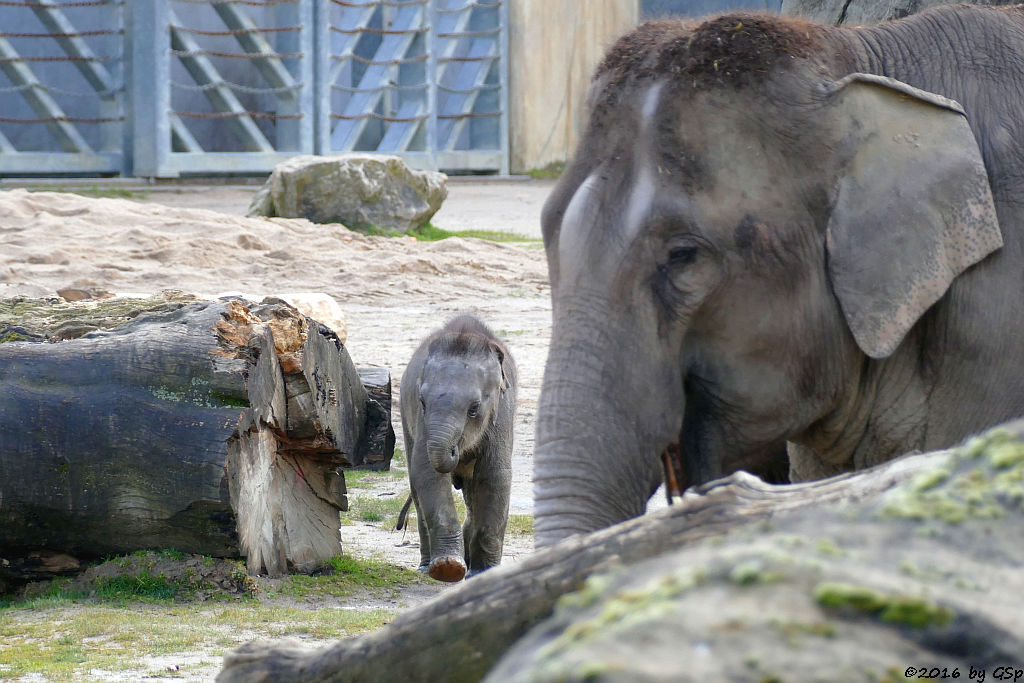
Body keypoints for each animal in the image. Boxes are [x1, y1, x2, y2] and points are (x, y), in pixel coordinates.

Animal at [395, 315, 516, 581]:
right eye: (422, 402)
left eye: (474, 409)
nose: (456, 452)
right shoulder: (421, 420)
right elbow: (427, 473)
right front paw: (448, 569)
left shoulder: (502, 414)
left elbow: (494, 475)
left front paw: (484, 572)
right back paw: (426, 566)